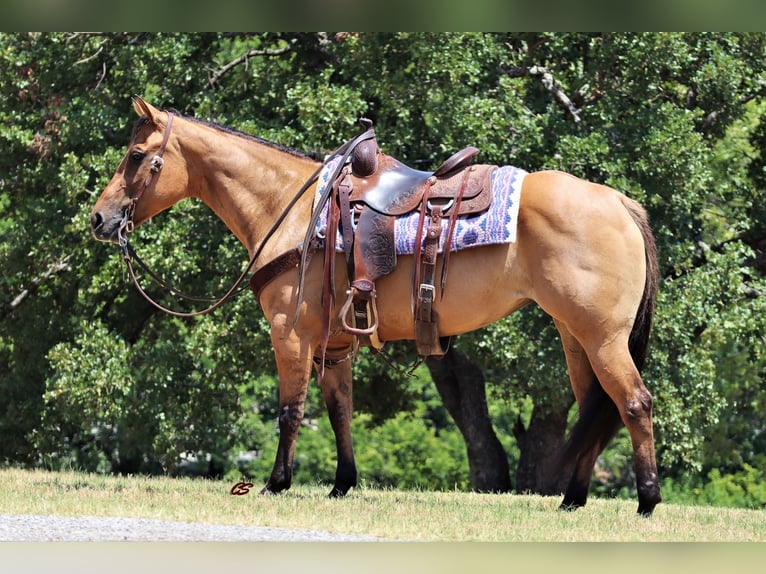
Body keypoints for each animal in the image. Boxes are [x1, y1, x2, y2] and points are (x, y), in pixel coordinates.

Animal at [90, 98, 664, 516]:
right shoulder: (334, 344)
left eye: (135, 156)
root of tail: (618, 201)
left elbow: (290, 410)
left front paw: (277, 484)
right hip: (574, 336)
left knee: (634, 403)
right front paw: (342, 484)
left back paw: (647, 500)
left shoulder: (290, 333)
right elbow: (339, 410)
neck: (294, 211)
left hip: (602, 338)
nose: (99, 219)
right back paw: (573, 499)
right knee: (596, 408)